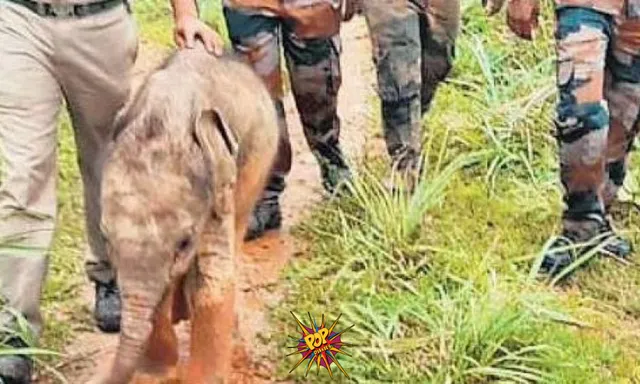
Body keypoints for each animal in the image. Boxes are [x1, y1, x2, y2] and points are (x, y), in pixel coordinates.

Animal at [89, 45, 278, 384]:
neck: (164, 120)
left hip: (255, 170)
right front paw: (156, 373)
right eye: (106, 239)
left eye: (185, 243)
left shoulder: (218, 184)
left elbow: (213, 275)